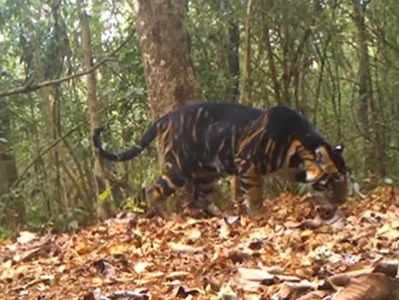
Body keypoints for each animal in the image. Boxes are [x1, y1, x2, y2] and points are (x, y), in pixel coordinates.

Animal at [93, 102, 346, 216]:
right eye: (334, 179)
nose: (343, 201)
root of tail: (165, 118)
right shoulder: (247, 162)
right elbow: (255, 194)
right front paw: (259, 215)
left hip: (206, 172)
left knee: (201, 196)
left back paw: (216, 215)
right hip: (177, 167)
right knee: (153, 190)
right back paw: (167, 216)